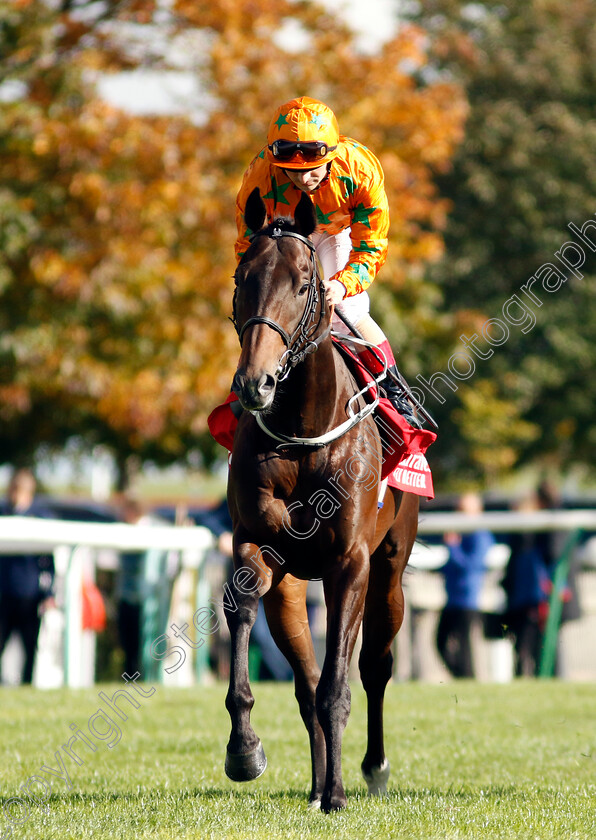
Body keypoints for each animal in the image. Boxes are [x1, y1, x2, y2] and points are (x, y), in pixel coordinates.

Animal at [224, 187, 420, 812]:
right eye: (243, 277)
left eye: (304, 282)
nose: (256, 382)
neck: (303, 429)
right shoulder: (255, 544)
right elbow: (243, 606)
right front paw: (245, 750)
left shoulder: (349, 562)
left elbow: (342, 681)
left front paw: (338, 792)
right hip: (291, 588)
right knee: (306, 684)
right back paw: (313, 785)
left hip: (390, 566)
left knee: (374, 666)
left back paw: (369, 770)